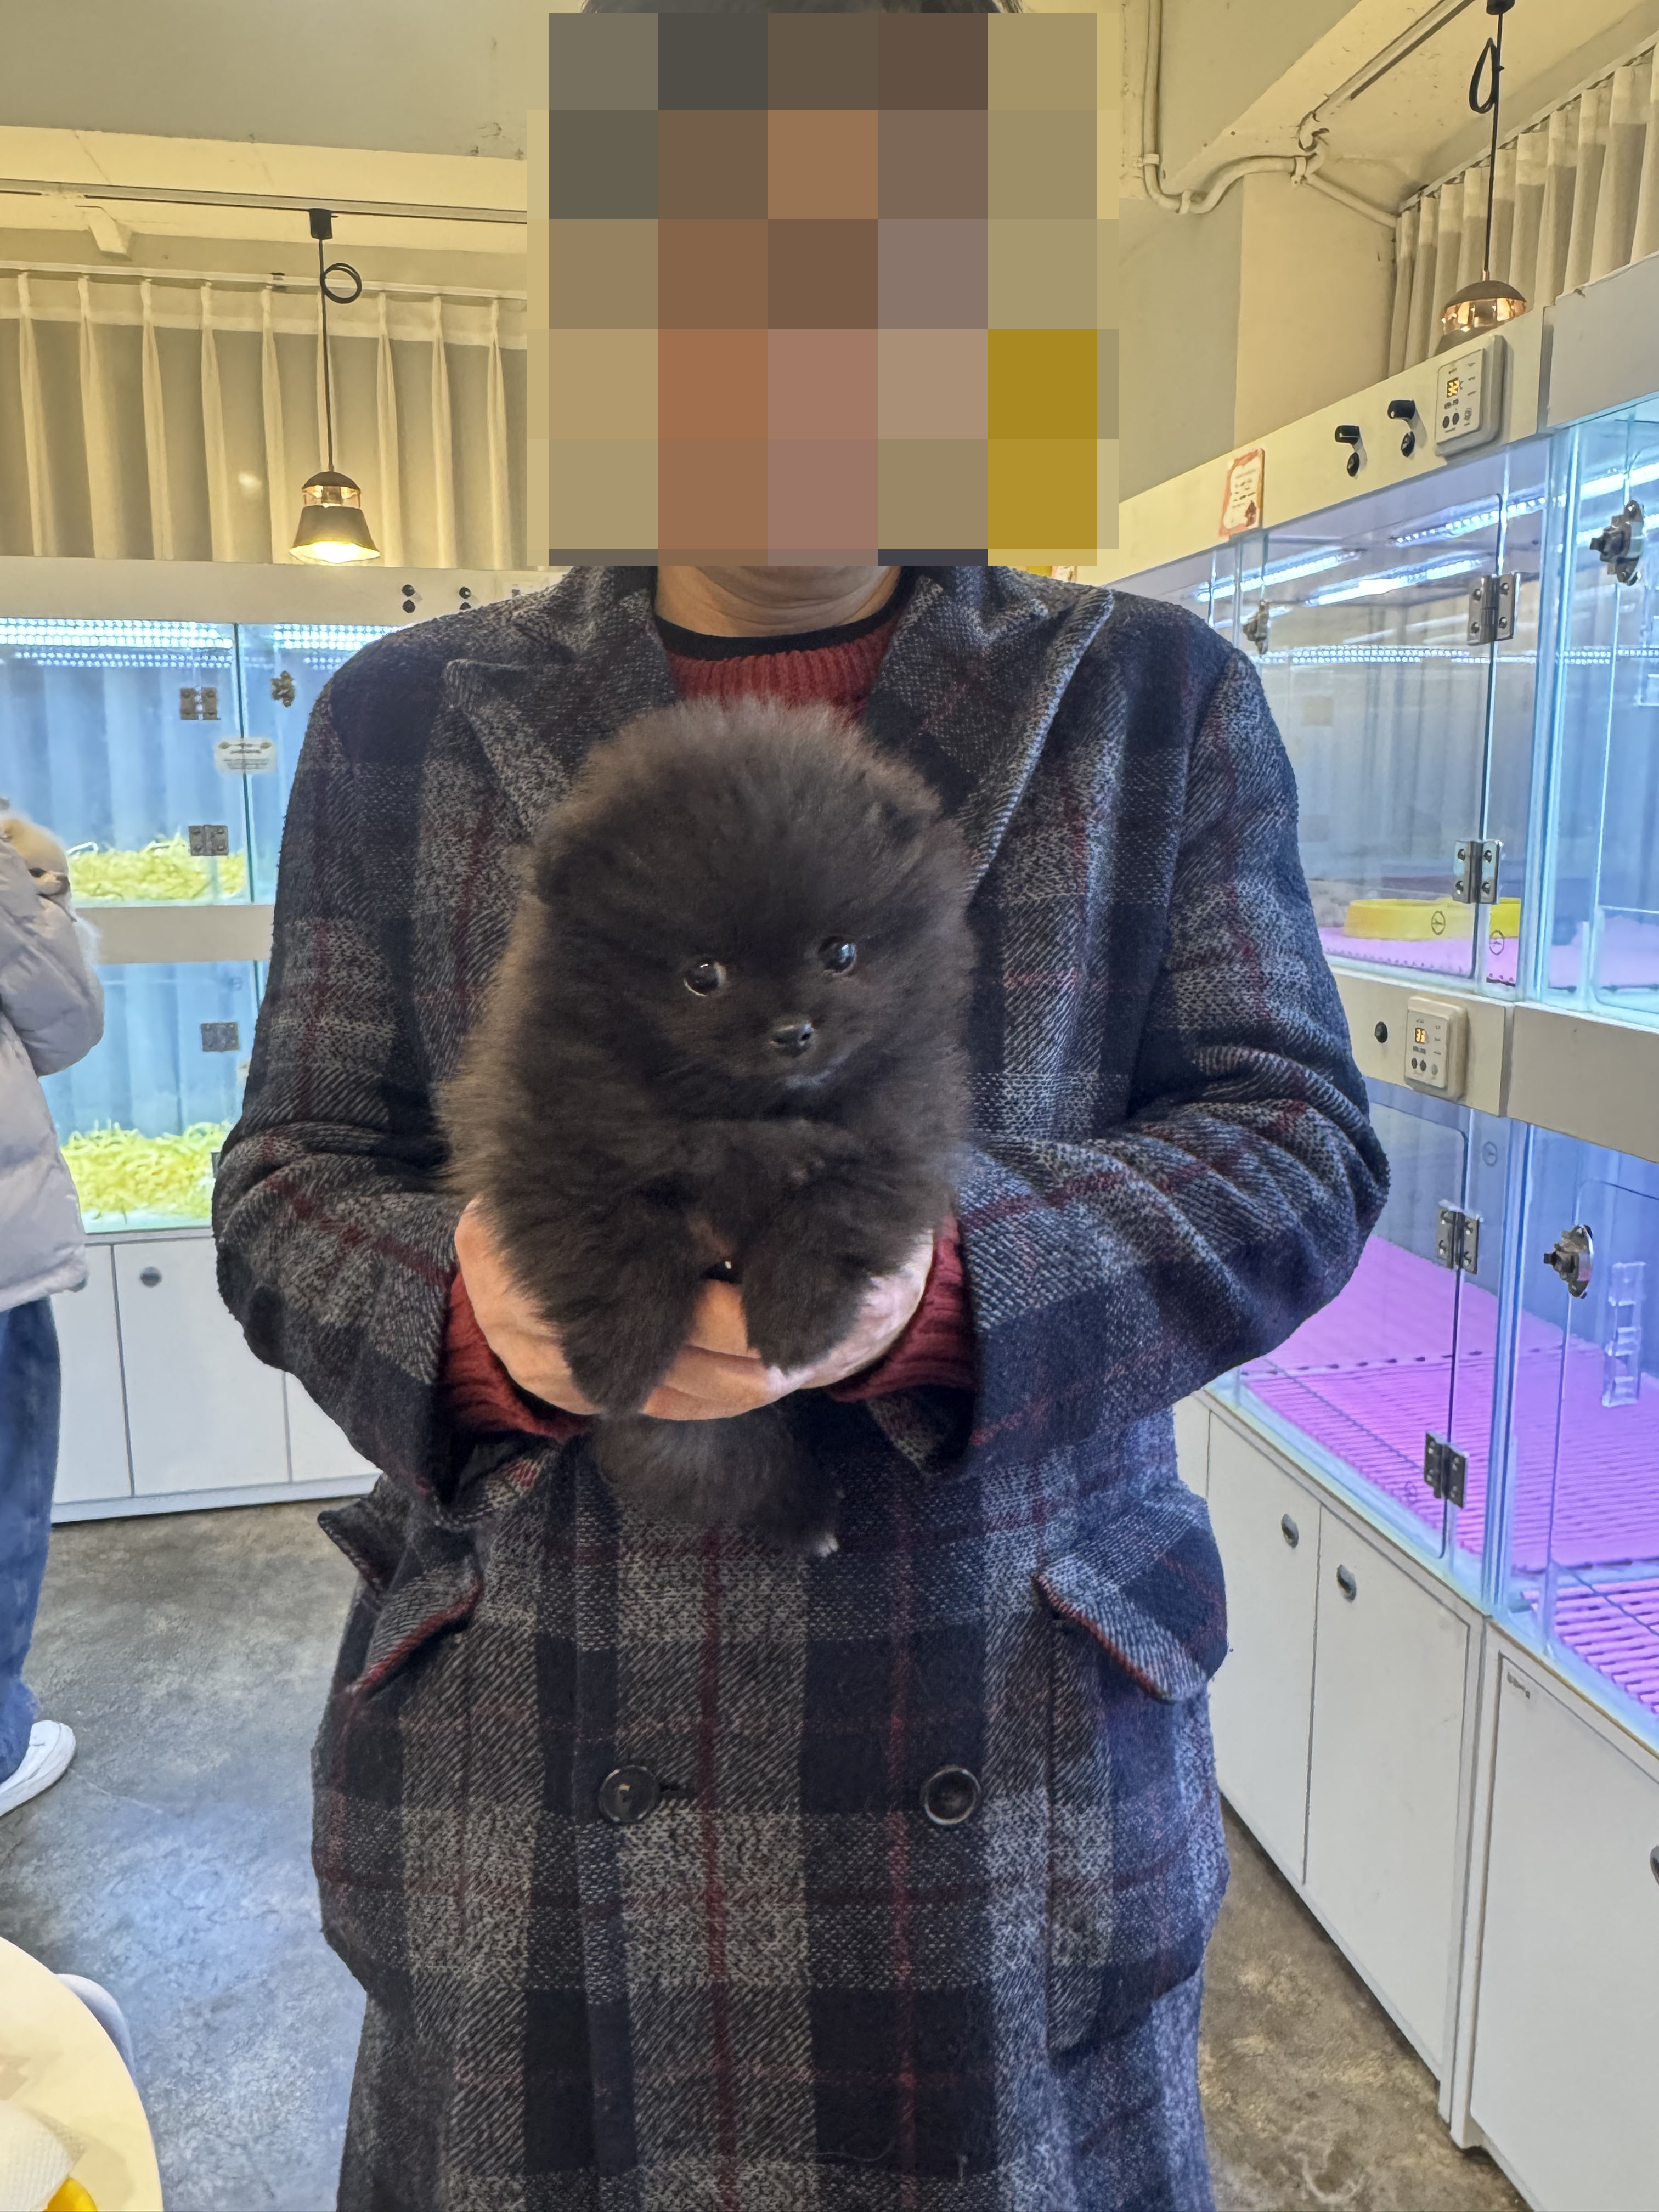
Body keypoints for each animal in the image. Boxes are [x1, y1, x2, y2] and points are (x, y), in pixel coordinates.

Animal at [441, 697, 974, 1553]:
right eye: (703, 976)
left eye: (841, 953)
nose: (793, 1030)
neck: (743, 1117)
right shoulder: (559, 1138)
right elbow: (616, 1240)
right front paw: (618, 1362)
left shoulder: (899, 1130)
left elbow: (834, 1209)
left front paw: (796, 1322)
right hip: (682, 1437)